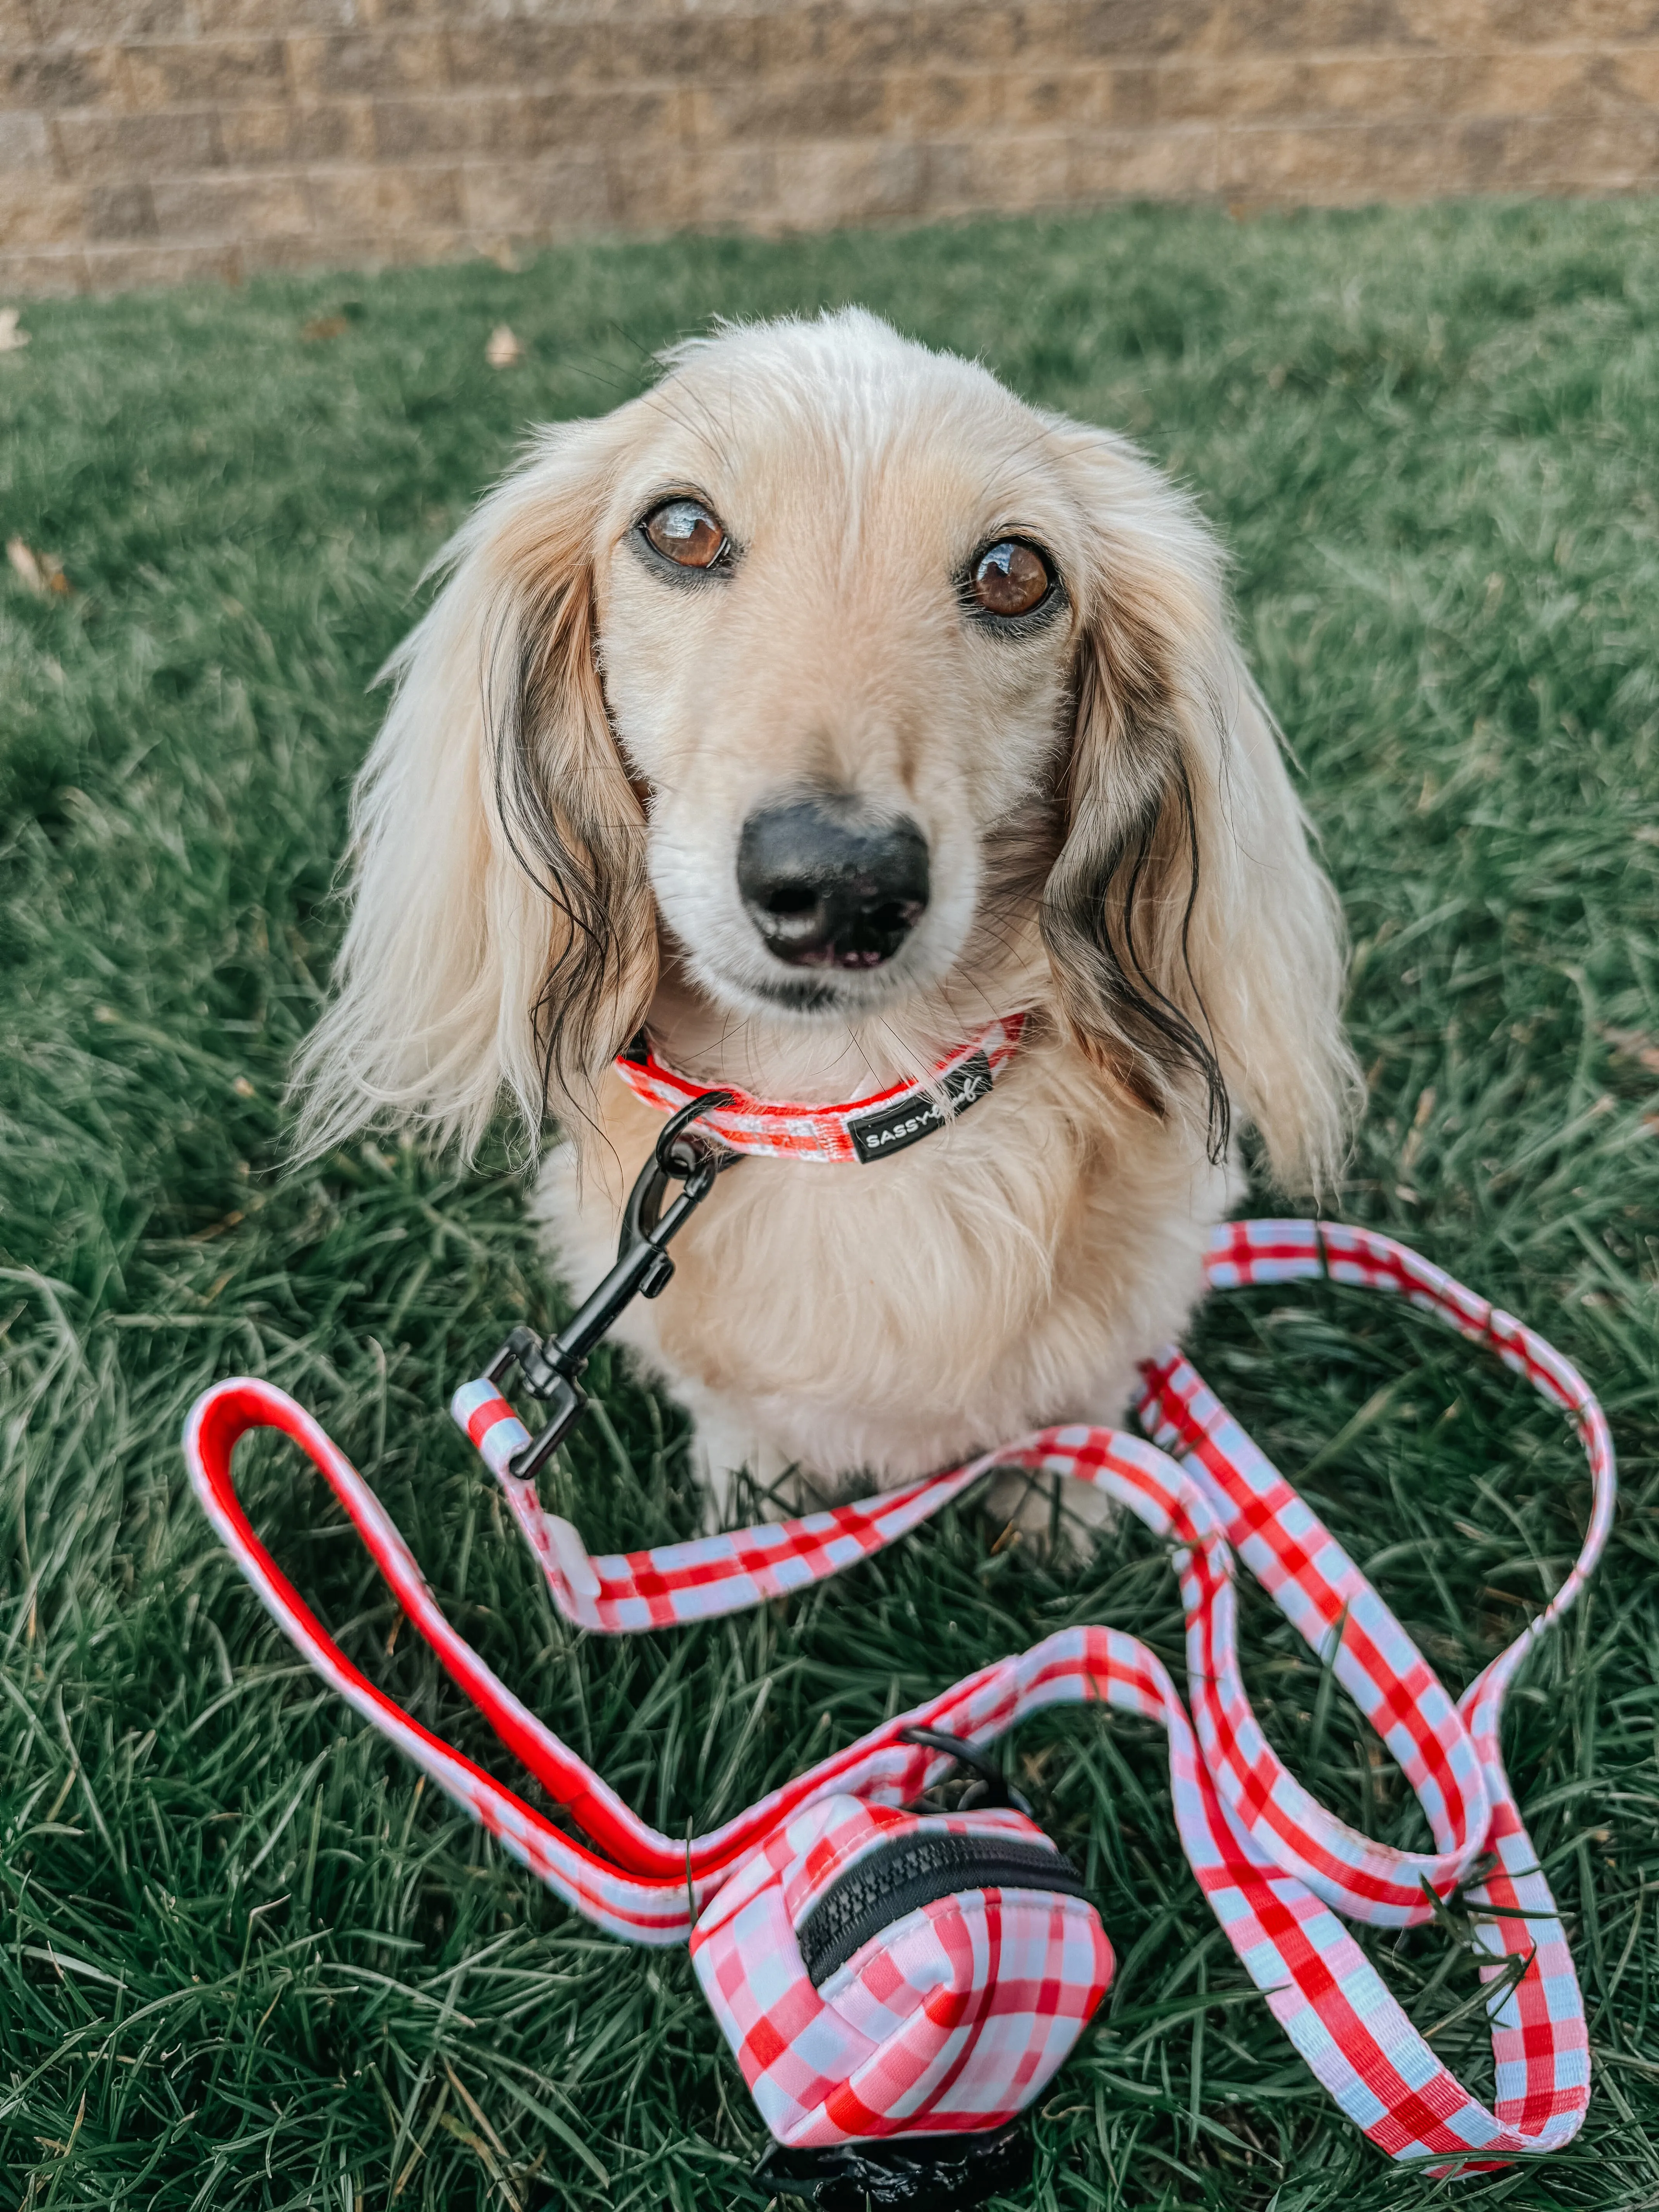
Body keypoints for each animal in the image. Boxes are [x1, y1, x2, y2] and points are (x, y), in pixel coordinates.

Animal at [296, 312, 1362, 1548]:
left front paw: (1066, 1498)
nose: (841, 887)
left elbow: (1078, 1403)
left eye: (1013, 573)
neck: (847, 1100)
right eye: (682, 528)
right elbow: (746, 1432)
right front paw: (751, 1501)